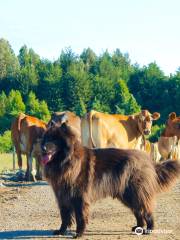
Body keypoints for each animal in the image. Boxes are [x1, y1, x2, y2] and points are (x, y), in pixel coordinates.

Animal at [40, 123, 180, 237]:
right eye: (46, 139)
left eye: (55, 140)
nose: (43, 149)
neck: (67, 161)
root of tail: (148, 161)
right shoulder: (62, 197)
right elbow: (64, 216)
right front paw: (61, 231)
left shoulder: (79, 197)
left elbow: (80, 217)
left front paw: (79, 233)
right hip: (128, 196)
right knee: (138, 212)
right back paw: (138, 228)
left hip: (136, 193)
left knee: (146, 211)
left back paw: (149, 229)